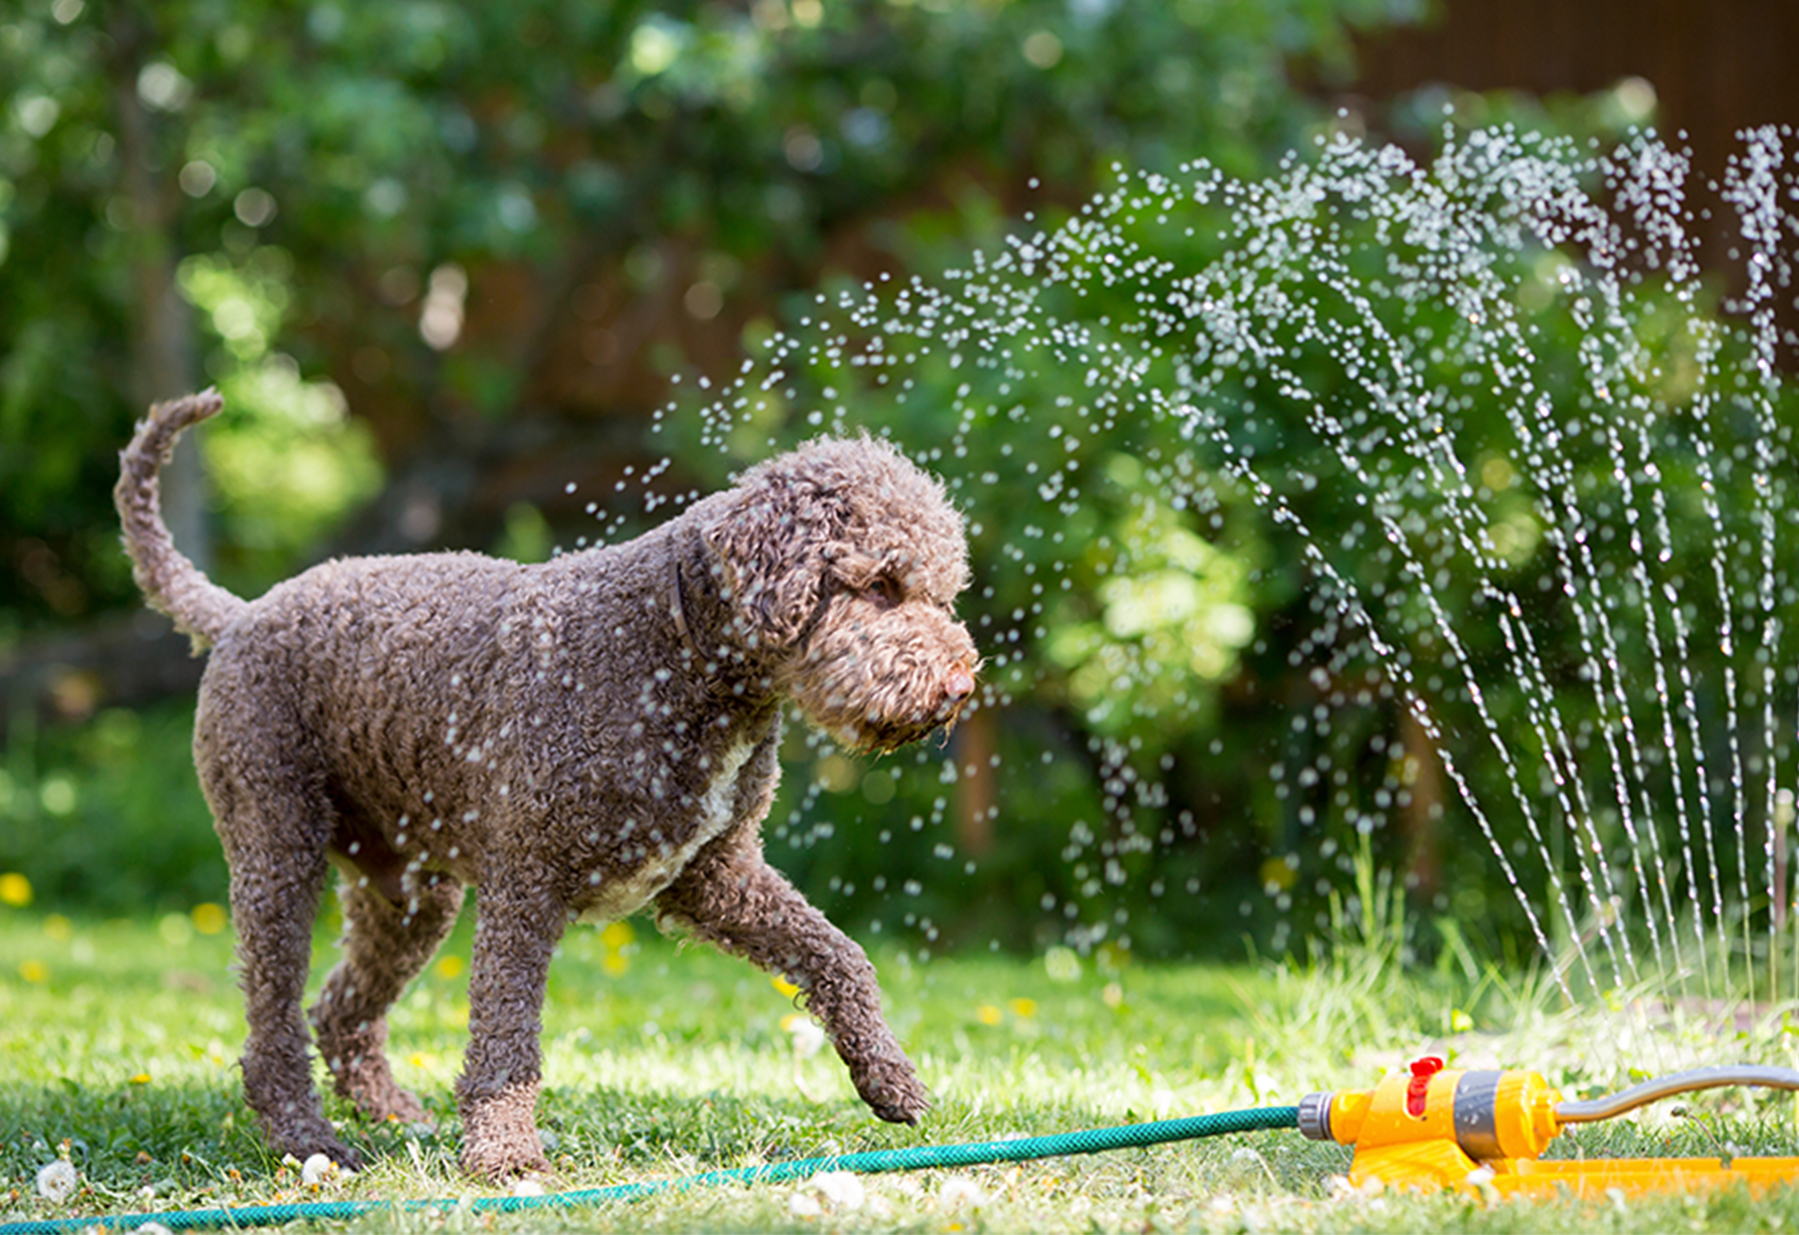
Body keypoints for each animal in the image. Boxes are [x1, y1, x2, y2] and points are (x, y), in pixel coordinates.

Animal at [108, 394, 985, 1180]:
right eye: (881, 584)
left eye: (941, 592)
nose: (958, 686)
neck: (668, 652)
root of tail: (240, 614)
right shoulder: (525, 886)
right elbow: (506, 1042)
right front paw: (504, 1154)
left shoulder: (714, 875)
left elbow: (839, 955)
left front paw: (889, 1077)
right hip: (278, 852)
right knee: (274, 1027)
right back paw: (307, 1138)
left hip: (411, 895)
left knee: (340, 1010)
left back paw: (390, 1112)